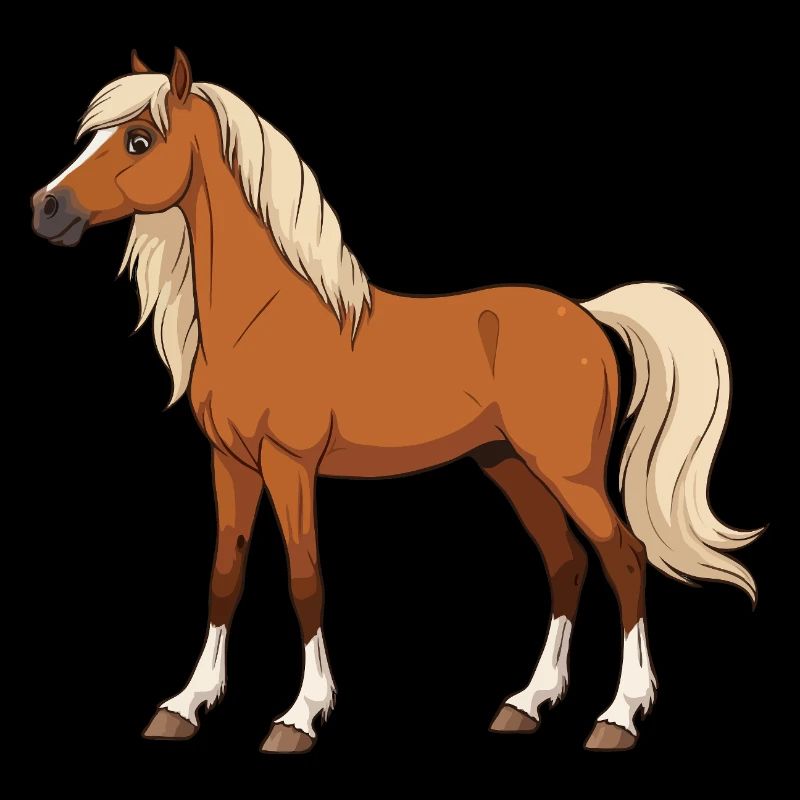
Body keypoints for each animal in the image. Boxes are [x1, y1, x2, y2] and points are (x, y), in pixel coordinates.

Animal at [31, 48, 762, 754]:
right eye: (95, 135)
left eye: (139, 140)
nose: (46, 208)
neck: (263, 320)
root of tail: (586, 313)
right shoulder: (231, 464)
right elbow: (224, 576)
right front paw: (184, 706)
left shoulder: (290, 465)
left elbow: (305, 580)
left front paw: (299, 717)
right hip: (507, 464)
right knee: (566, 563)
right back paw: (526, 704)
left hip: (567, 470)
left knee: (624, 558)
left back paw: (618, 717)